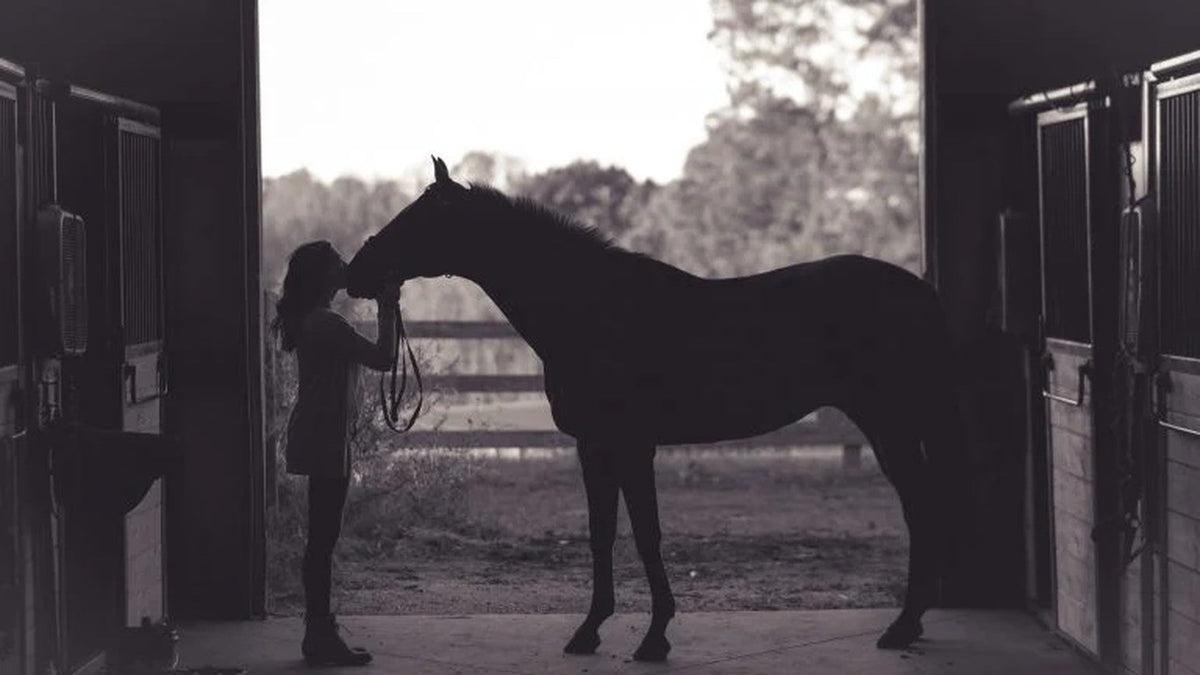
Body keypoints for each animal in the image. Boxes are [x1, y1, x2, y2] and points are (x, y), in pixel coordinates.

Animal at [345, 156, 967, 662]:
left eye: (419, 219)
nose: (356, 272)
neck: (592, 308)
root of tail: (921, 291)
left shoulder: (631, 445)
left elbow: (646, 533)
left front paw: (654, 637)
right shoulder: (592, 446)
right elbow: (601, 533)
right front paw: (589, 631)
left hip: (890, 424)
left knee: (922, 508)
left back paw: (902, 627)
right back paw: (909, 626)